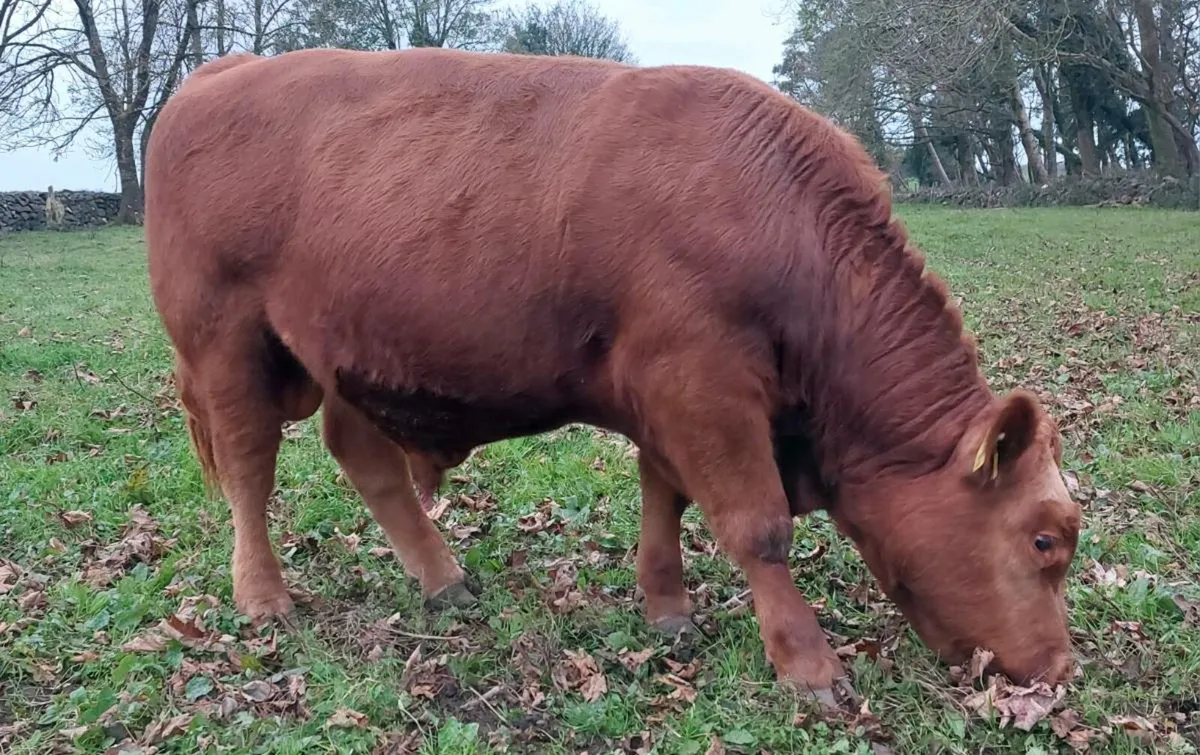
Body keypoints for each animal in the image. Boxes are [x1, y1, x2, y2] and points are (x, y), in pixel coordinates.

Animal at [143, 46, 1082, 704]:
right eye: (1045, 540)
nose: (1059, 668)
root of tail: (224, 73)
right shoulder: (704, 386)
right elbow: (758, 526)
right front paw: (809, 665)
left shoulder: (670, 395)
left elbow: (664, 494)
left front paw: (667, 609)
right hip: (228, 344)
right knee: (249, 467)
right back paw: (264, 597)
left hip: (351, 356)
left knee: (361, 454)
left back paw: (445, 580)